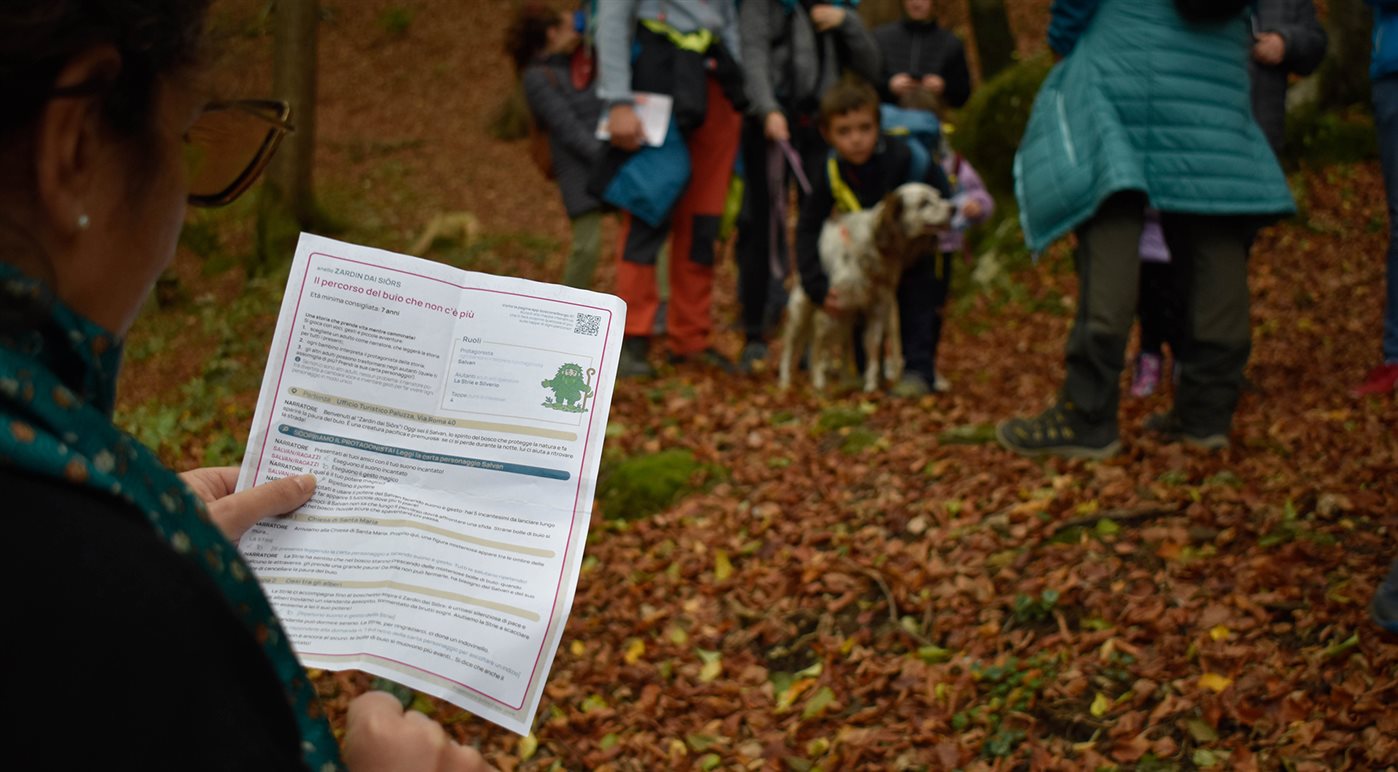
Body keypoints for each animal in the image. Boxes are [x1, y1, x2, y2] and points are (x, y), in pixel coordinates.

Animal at [779, 182, 952, 393]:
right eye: (924, 202)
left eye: (938, 195)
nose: (953, 208)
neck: (876, 246)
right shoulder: (830, 305)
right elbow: (819, 346)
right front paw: (818, 380)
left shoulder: (877, 308)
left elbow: (872, 346)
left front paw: (871, 384)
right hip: (802, 311)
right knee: (792, 347)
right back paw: (786, 380)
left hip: (846, 317)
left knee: (842, 346)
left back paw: (846, 378)